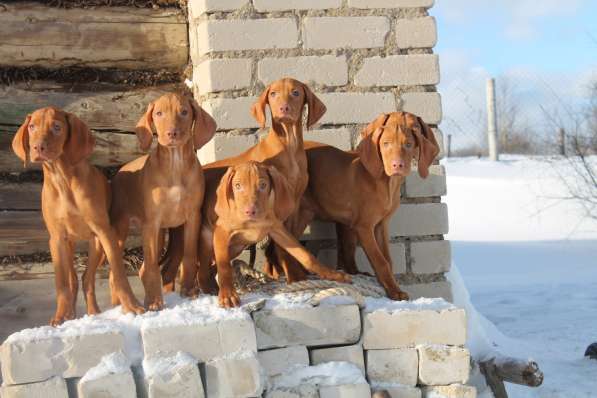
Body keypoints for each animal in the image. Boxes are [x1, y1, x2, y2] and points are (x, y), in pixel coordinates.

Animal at [11, 107, 144, 324]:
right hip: (68, 245)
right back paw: (70, 314)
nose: (38, 147)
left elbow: (119, 274)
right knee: (74, 279)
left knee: (87, 277)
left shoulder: (104, 232)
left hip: (99, 243)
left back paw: (93, 313)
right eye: (31, 127)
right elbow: (62, 283)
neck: (63, 180)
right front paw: (59, 318)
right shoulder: (56, 238)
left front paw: (132, 306)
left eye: (57, 127)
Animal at [103, 94, 217, 310]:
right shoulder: (152, 222)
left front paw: (187, 289)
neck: (175, 165)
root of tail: (120, 171)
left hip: (159, 234)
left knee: (142, 268)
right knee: (117, 272)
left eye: (184, 112)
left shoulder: (192, 217)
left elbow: (189, 256)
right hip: (122, 229)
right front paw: (154, 301)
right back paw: (119, 305)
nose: (171, 133)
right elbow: (152, 267)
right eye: (159, 113)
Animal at [161, 78, 352, 296]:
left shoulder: (291, 207)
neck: (289, 146)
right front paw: (294, 277)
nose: (283, 108)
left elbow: (292, 247)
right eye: (273, 94)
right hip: (186, 235)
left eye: (295, 92)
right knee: (174, 267)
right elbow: (279, 249)